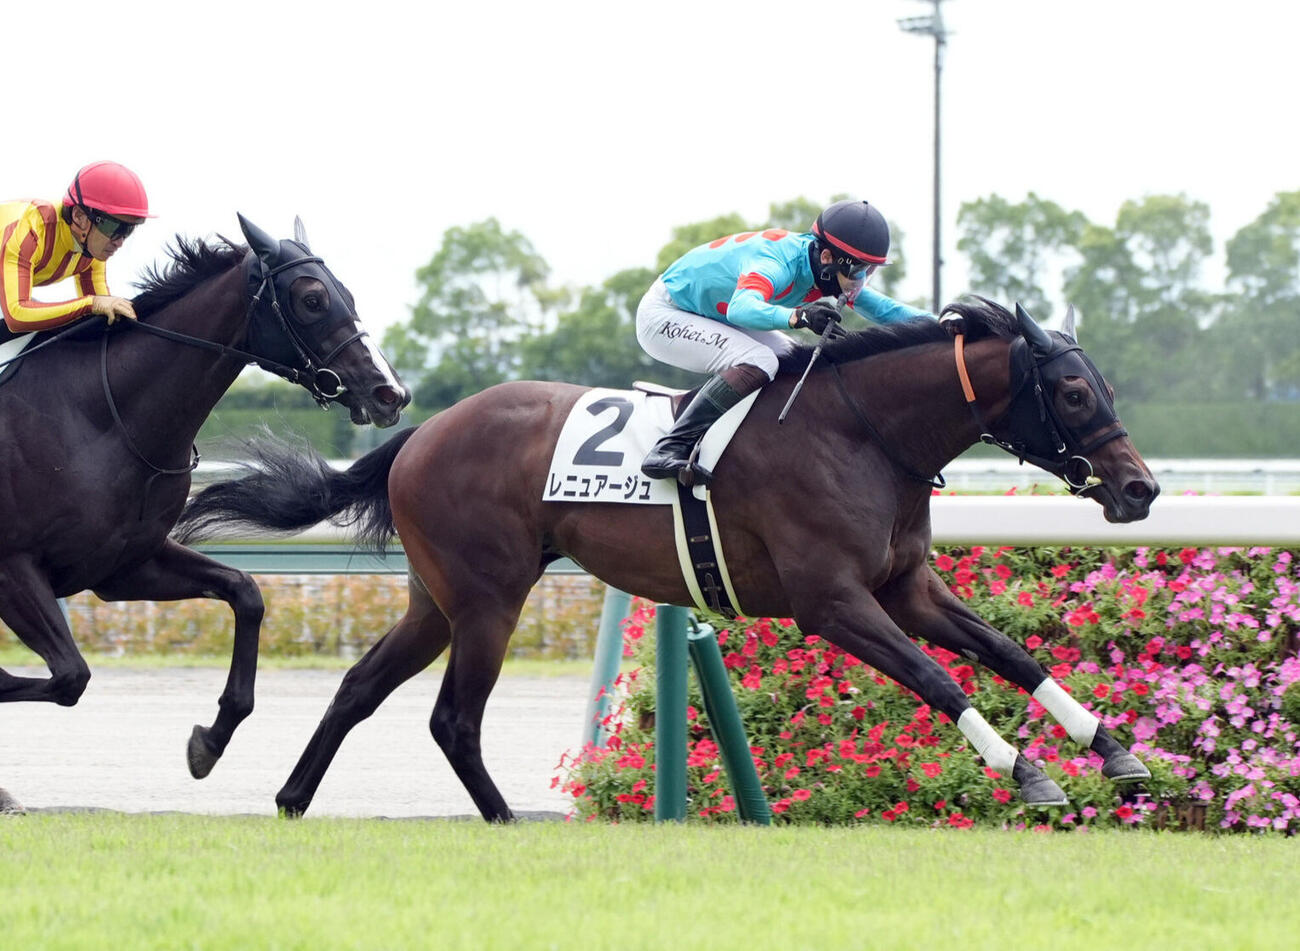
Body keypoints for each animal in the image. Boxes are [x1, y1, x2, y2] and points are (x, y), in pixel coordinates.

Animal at [0, 215, 410, 814]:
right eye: (312, 299)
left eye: (348, 295)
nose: (390, 393)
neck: (99, 419)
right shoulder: (14, 568)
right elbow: (69, 677)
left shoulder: (122, 566)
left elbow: (246, 593)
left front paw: (209, 742)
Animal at [175, 297, 1159, 822]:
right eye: (1074, 391)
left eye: (1107, 385)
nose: (1140, 488)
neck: (863, 433)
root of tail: (421, 432)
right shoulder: (832, 601)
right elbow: (935, 675)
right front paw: (1024, 769)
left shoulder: (904, 587)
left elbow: (1008, 652)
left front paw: (1112, 748)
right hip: (489, 598)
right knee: (452, 718)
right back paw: (504, 817)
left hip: (437, 600)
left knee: (359, 687)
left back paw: (291, 796)